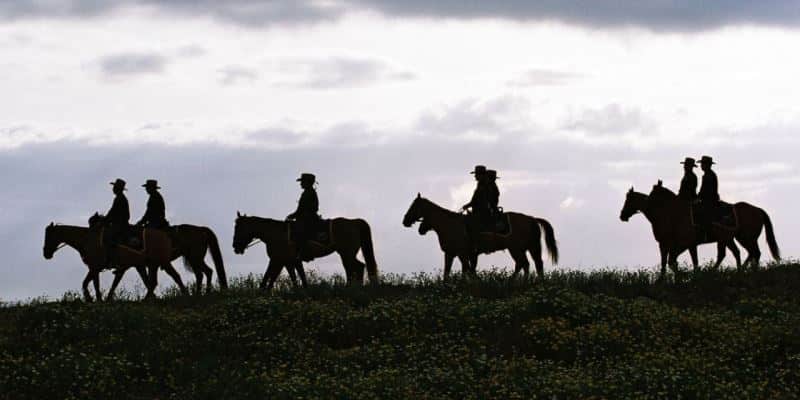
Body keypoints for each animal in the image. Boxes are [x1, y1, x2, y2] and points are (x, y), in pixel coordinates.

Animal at [44, 220, 188, 302]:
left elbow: (91, 284)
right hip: (155, 263)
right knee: (161, 279)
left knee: (170, 277)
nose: (46, 254)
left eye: (49, 236)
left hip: (160, 262)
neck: (87, 240)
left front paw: (94, 299)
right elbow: (92, 283)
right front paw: (98, 299)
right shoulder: (97, 268)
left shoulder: (95, 267)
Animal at [233, 212, 380, 290]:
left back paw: (352, 287)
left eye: (238, 228)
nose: (235, 247)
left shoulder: (278, 260)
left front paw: (263, 291)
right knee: (355, 267)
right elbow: (294, 276)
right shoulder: (287, 261)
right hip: (346, 253)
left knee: (356, 267)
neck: (275, 233)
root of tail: (355, 221)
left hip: (346, 253)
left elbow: (270, 275)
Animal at [404, 194, 560, 282]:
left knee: (524, 264)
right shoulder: (451, 253)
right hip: (528, 248)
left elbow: (467, 269)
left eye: (413, 206)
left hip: (516, 249)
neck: (449, 225)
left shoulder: (462, 253)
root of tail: (532, 218)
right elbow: (449, 271)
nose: (405, 221)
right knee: (532, 264)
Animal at [620, 181, 780, 276]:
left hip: (744, 238)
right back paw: (739, 270)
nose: (622, 216)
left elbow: (672, 260)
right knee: (741, 253)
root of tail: (758, 210)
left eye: (628, 200)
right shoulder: (675, 244)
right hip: (731, 239)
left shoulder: (681, 244)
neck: (671, 213)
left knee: (752, 253)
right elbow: (679, 261)